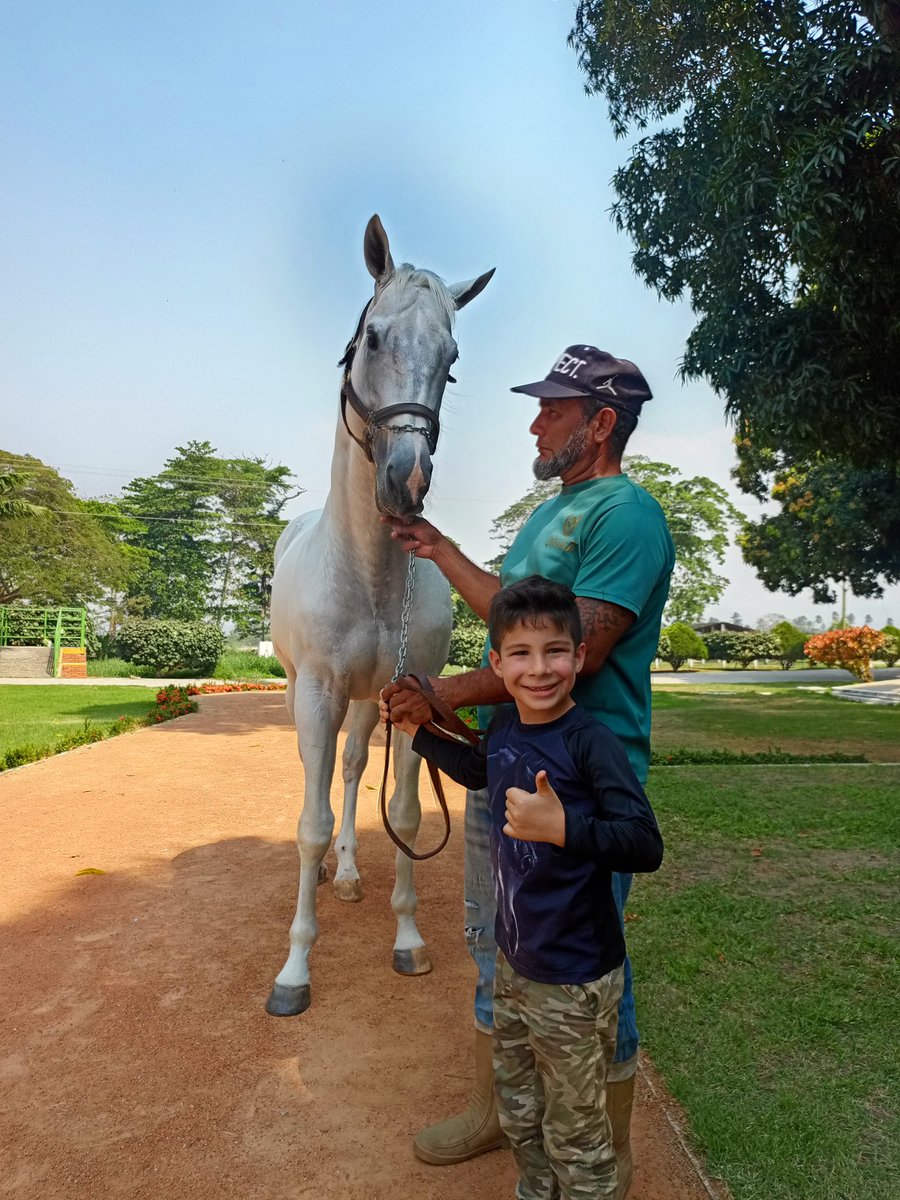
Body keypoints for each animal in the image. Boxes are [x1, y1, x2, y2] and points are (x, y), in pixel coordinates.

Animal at [266, 215, 493, 1016]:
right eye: (372, 338)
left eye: (451, 362)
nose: (407, 481)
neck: (366, 577)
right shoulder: (316, 695)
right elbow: (308, 826)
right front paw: (294, 969)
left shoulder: (409, 697)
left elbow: (404, 816)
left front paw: (409, 940)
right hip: (315, 693)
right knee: (328, 780)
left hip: (369, 700)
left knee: (354, 768)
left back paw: (352, 875)